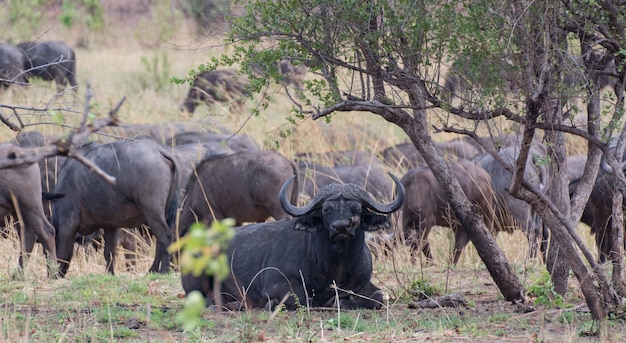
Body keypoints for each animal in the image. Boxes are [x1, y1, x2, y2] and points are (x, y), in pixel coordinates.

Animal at [51, 140, 179, 276]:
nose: (51, 272)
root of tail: (159, 151)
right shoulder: (111, 226)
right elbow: (109, 252)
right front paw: (110, 273)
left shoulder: (67, 225)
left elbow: (63, 252)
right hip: (165, 213)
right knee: (161, 242)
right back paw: (152, 270)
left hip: (152, 213)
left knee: (166, 238)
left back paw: (163, 270)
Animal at [180, 173, 404, 310]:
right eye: (326, 210)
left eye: (356, 209)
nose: (341, 227)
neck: (336, 264)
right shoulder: (277, 283)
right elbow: (303, 298)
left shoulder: (363, 282)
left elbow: (378, 297)